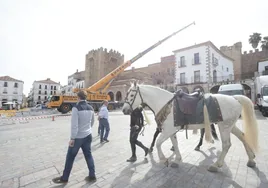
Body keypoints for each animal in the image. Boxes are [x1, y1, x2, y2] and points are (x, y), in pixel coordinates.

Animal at [122, 82, 260, 172]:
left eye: (131, 95)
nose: (124, 109)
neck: (165, 103)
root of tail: (235, 98)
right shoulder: (171, 131)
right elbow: (175, 144)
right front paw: (177, 160)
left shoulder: (167, 130)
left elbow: (158, 143)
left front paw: (164, 159)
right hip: (230, 125)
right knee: (243, 136)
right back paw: (251, 159)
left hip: (224, 127)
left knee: (226, 145)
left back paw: (216, 165)